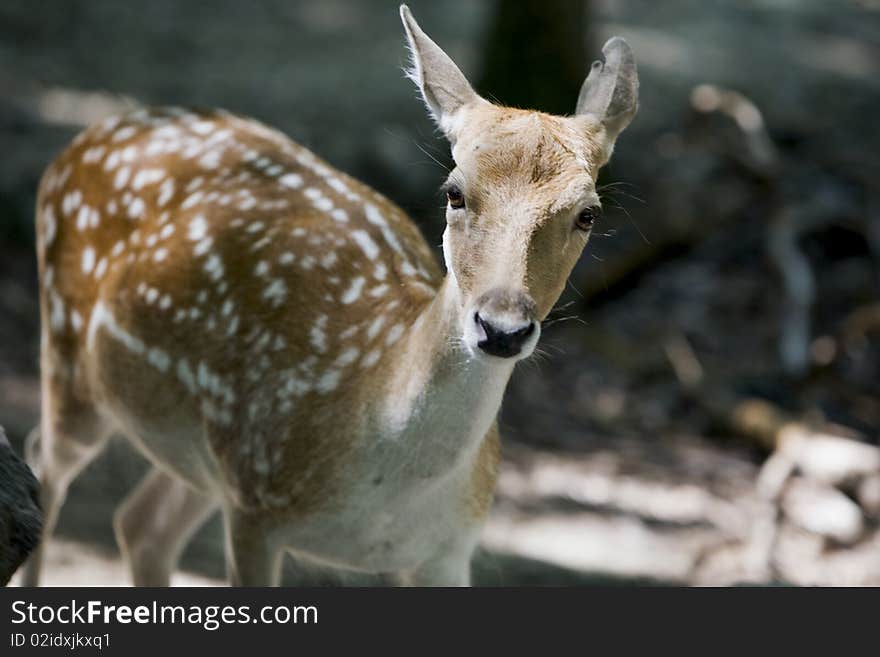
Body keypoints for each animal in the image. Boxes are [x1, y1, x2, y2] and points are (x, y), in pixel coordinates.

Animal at [20, 6, 640, 584]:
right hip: (71, 357)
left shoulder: (449, 550)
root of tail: (89, 134)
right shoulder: (257, 509)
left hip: (206, 457)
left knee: (141, 522)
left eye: (588, 213)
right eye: (454, 192)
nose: (502, 327)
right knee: (42, 464)